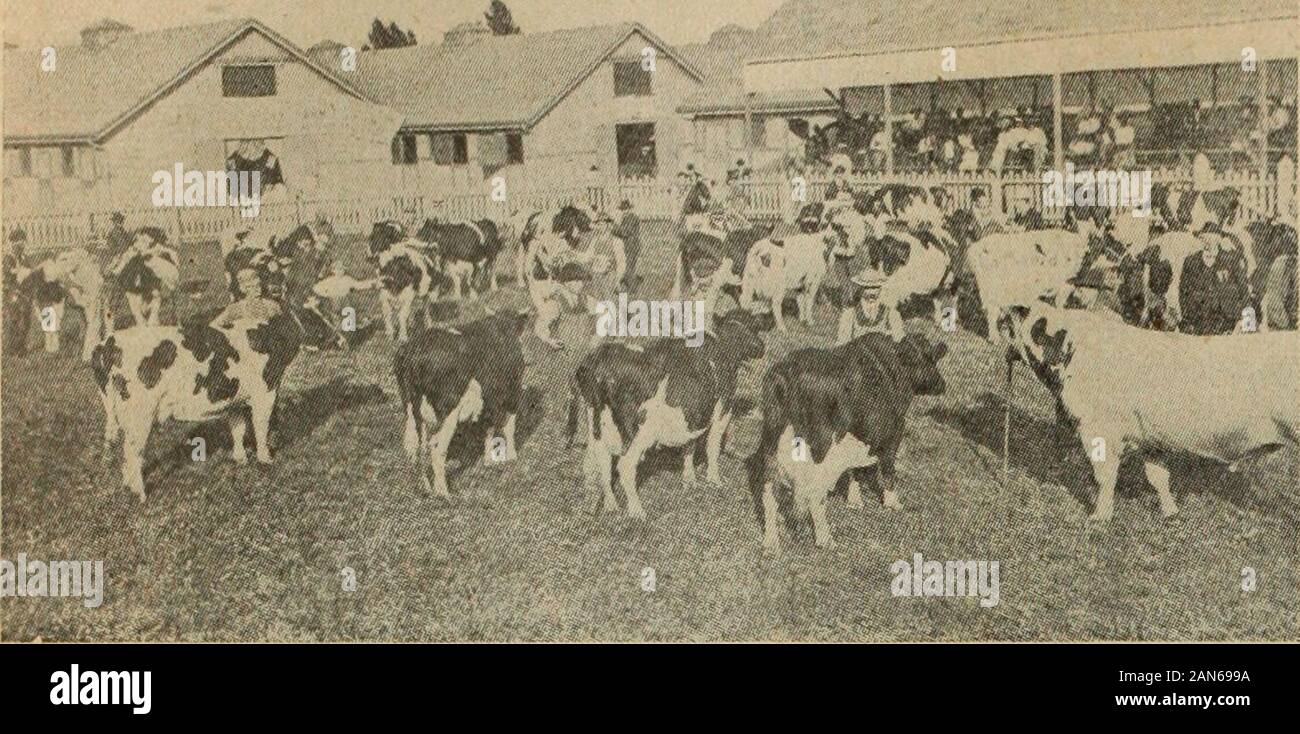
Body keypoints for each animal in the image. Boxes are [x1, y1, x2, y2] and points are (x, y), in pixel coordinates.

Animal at [91, 300, 309, 501]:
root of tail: (108, 342)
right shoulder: (266, 390)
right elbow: (260, 426)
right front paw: (266, 460)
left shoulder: (233, 399)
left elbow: (237, 428)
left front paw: (240, 459)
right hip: (140, 412)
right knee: (133, 450)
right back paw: (142, 495)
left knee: (125, 449)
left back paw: (128, 487)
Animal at [392, 306, 530, 496]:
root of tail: (414, 350)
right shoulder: (512, 394)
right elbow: (509, 427)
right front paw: (512, 457)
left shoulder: (488, 400)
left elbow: (488, 429)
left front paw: (488, 461)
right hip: (449, 411)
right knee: (436, 447)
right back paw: (443, 493)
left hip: (412, 410)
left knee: (415, 446)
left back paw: (425, 487)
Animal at [566, 309, 764, 519]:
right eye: (754, 327)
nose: (762, 347)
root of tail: (598, 360)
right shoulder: (723, 409)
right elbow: (712, 446)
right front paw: (714, 479)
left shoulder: (692, 414)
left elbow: (690, 445)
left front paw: (689, 480)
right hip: (640, 430)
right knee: (625, 464)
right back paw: (637, 511)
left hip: (596, 421)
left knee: (599, 460)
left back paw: (610, 505)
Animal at [748, 329, 951, 550]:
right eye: (931, 358)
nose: (942, 384)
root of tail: (788, 371)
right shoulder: (894, 432)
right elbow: (889, 469)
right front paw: (893, 503)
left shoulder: (857, 438)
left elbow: (854, 470)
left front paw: (854, 500)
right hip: (820, 448)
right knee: (813, 494)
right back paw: (825, 539)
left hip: (770, 442)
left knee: (769, 492)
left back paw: (771, 542)